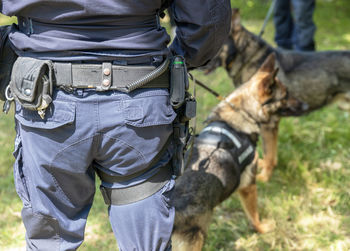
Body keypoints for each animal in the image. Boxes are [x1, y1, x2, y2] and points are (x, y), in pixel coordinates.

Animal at [171, 54, 304, 250]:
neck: (242, 112)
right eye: (285, 95)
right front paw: (262, 229)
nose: (306, 105)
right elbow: (254, 215)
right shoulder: (248, 186)